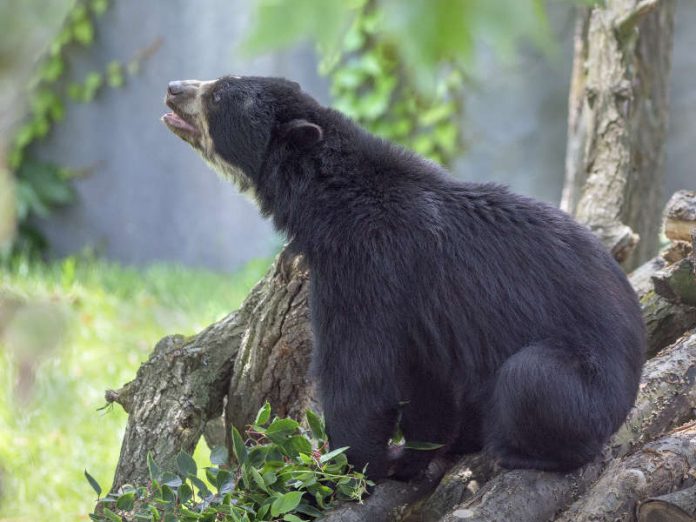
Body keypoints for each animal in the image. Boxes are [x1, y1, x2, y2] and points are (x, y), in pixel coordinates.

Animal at [163, 74, 648, 480]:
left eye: (219, 94)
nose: (173, 89)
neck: (328, 197)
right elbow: (425, 382)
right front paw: (413, 456)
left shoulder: (366, 264)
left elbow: (359, 374)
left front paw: (349, 466)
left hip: (583, 383)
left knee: (530, 378)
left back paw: (514, 451)